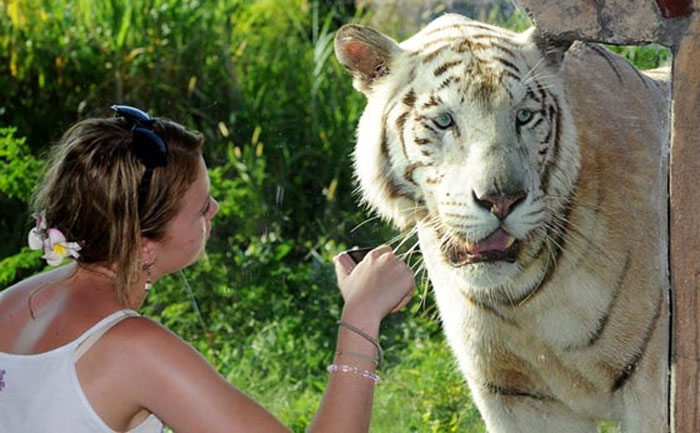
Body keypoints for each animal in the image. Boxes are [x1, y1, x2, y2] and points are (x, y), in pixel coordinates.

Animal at [336, 13, 668, 432]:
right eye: (444, 120)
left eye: (523, 116)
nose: (501, 200)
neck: (523, 299)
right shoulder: (517, 396)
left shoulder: (652, 384)